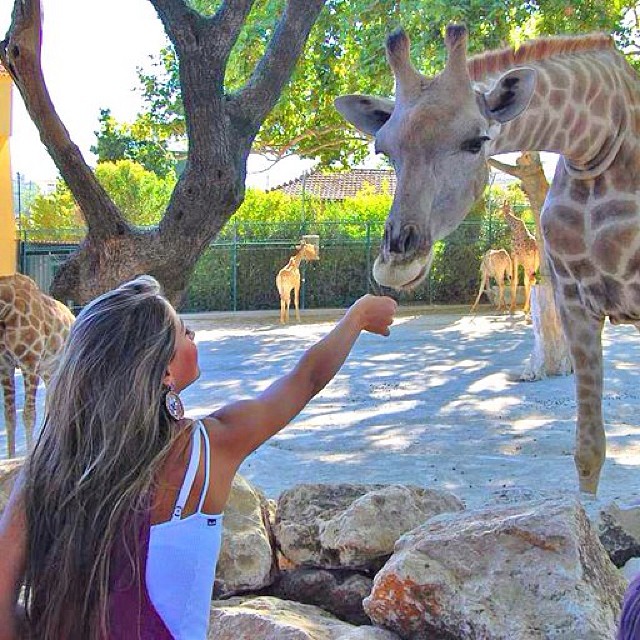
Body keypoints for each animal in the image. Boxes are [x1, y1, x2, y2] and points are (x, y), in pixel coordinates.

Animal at [0, 272, 74, 458]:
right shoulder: (5, 367)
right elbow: (9, 416)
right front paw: (11, 457)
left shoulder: (29, 363)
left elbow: (28, 415)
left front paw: (27, 454)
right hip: (48, 371)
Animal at [336, 25, 640, 496]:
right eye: (382, 149)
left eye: (476, 141)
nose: (396, 264)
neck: (599, 145)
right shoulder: (575, 301)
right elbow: (589, 453)